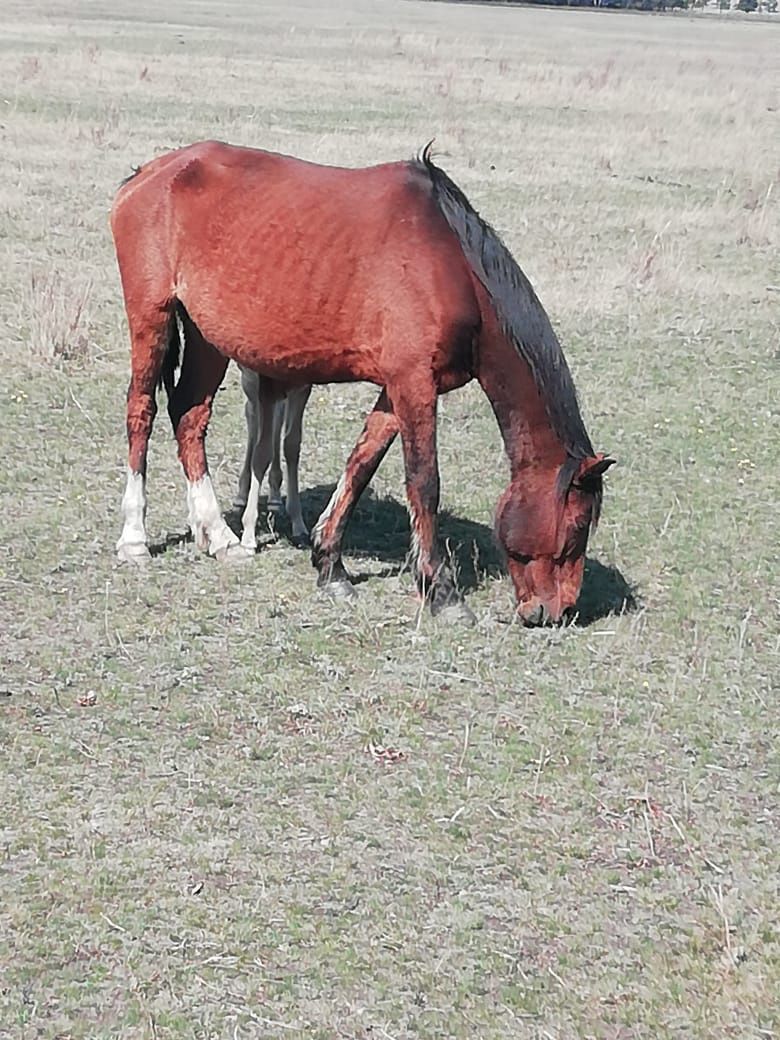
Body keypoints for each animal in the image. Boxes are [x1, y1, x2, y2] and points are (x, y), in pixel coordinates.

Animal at [233, 372, 314, 553]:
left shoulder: (302, 387)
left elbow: (291, 445)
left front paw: (299, 526)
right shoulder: (265, 387)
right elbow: (262, 453)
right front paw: (248, 535)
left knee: (278, 416)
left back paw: (275, 497)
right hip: (249, 379)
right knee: (252, 413)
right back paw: (241, 495)